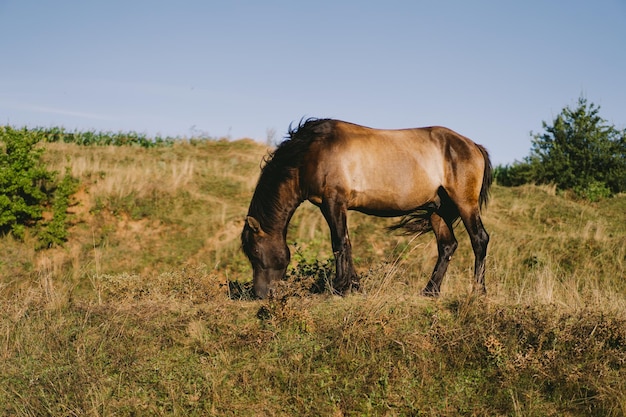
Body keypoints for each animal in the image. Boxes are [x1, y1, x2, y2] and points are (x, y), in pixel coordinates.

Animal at [241, 118, 490, 298]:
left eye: (255, 252)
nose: (260, 294)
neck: (311, 152)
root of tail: (473, 146)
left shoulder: (334, 202)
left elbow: (339, 243)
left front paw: (339, 288)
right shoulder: (331, 206)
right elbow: (346, 243)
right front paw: (354, 286)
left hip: (465, 203)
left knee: (479, 239)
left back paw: (478, 291)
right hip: (438, 210)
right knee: (447, 246)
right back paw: (430, 291)